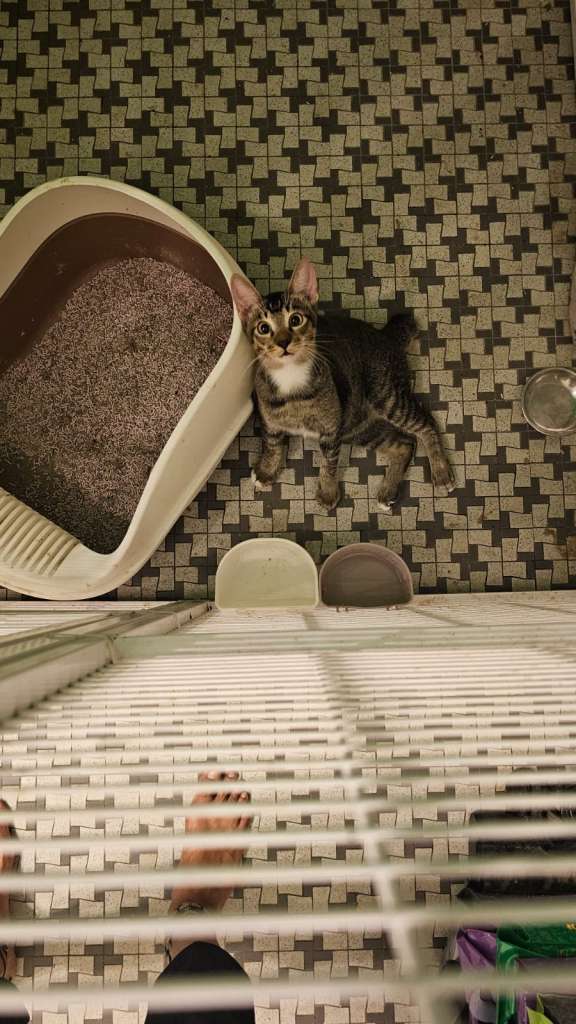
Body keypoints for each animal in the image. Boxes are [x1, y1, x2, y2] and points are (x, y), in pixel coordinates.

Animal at [230, 258, 454, 512]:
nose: (283, 342)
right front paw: (267, 471)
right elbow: (272, 446)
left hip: (386, 398)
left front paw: (328, 492)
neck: (291, 377)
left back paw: (441, 471)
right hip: (356, 426)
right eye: (263, 328)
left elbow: (328, 465)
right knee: (404, 444)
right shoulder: (271, 423)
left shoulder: (331, 433)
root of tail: (386, 336)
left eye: (295, 319)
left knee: (426, 422)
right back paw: (388, 490)